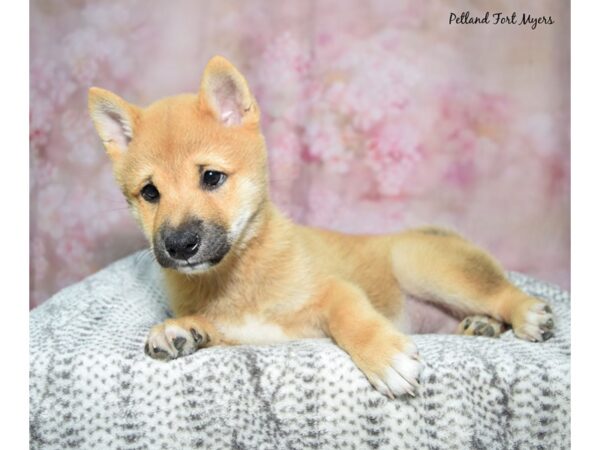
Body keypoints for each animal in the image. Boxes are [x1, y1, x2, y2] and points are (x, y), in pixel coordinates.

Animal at [88, 55, 552, 398]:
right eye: (150, 192)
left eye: (212, 177)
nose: (180, 244)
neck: (239, 273)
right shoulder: (252, 332)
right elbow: (217, 328)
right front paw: (182, 330)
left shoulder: (334, 291)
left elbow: (352, 319)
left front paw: (384, 357)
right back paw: (482, 326)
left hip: (424, 267)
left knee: (500, 291)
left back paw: (525, 314)